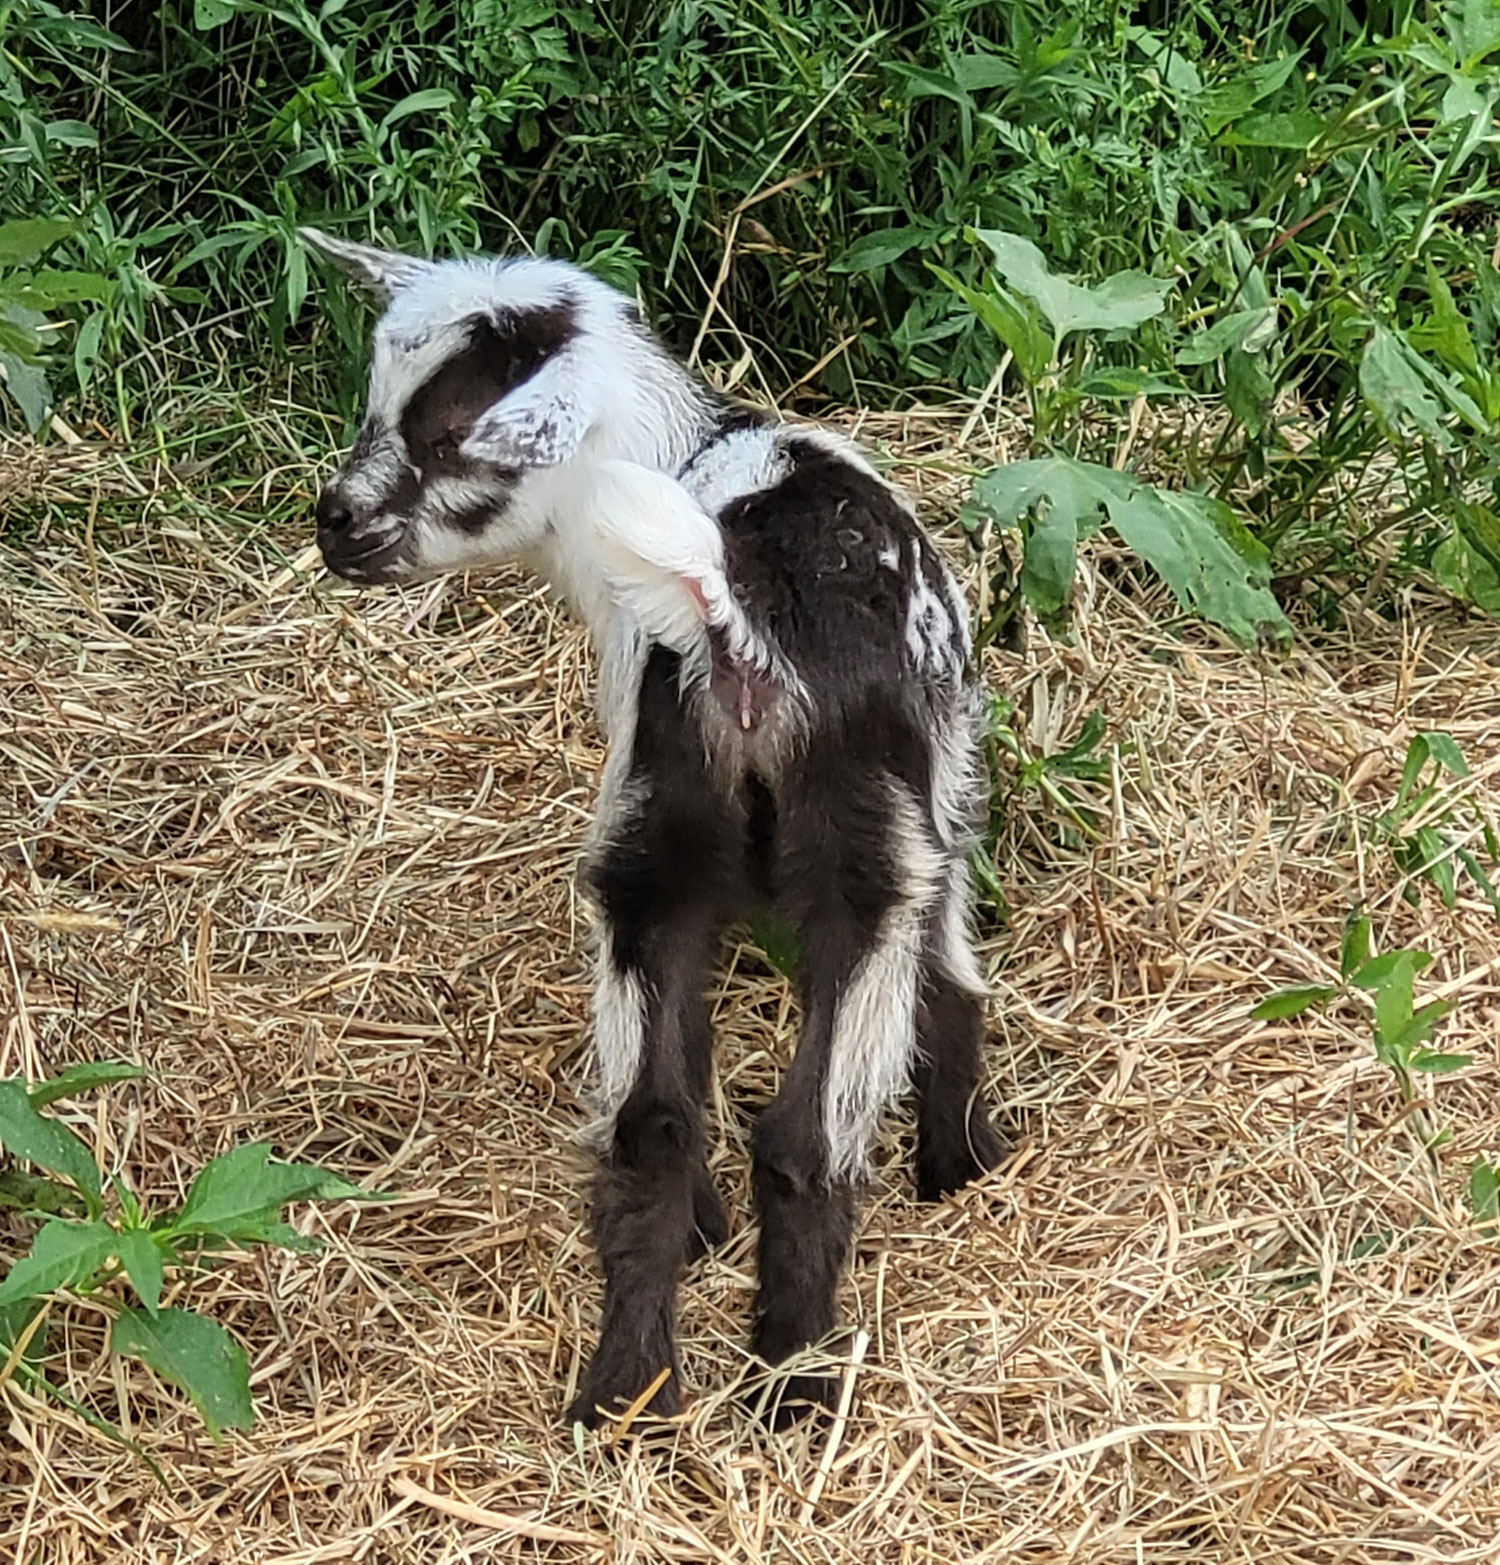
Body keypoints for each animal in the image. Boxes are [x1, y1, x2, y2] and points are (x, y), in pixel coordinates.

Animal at [300, 228, 1009, 1428]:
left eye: (445, 431)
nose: (333, 522)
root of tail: (736, 617)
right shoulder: (940, 808)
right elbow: (953, 975)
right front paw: (963, 1159)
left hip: (650, 845)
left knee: (652, 1124)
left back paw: (628, 1391)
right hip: (862, 860)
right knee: (806, 1136)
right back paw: (796, 1383)